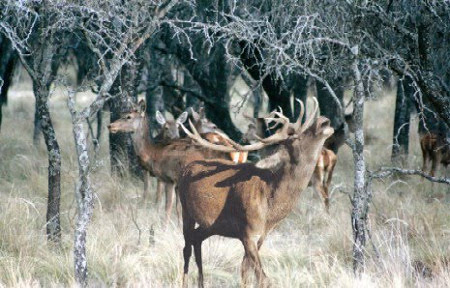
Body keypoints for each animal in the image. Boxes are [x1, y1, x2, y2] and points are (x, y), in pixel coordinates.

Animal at [178, 98, 334, 288]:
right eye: (297, 138)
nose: (324, 120)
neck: (271, 208)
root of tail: (186, 168)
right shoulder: (249, 232)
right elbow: (263, 278)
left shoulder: (260, 236)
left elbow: (245, 272)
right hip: (185, 209)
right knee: (186, 247)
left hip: (212, 224)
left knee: (197, 238)